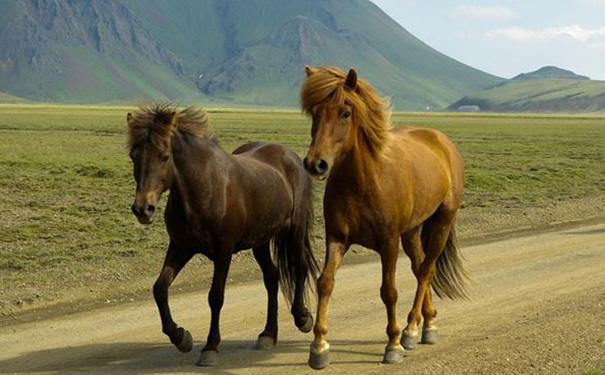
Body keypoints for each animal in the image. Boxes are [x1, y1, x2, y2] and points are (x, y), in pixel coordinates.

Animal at [125, 105, 318, 368]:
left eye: (164, 156)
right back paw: (268, 334)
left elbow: (215, 297)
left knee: (299, 268)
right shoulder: (180, 247)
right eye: (133, 156)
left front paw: (210, 347)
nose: (143, 209)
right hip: (260, 241)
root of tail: (290, 156)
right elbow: (160, 288)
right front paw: (180, 337)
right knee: (272, 278)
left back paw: (302, 318)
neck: (202, 190)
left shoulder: (223, 252)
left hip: (294, 230)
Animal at [300, 68, 468, 370]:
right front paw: (319, 346)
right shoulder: (337, 239)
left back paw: (411, 329)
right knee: (420, 267)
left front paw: (393, 344)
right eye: (314, 112)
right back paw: (428, 323)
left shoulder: (388, 244)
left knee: (426, 271)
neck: (363, 181)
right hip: (412, 232)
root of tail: (442, 141)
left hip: (442, 222)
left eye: (345, 113)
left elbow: (388, 291)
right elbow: (325, 282)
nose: (315, 164)